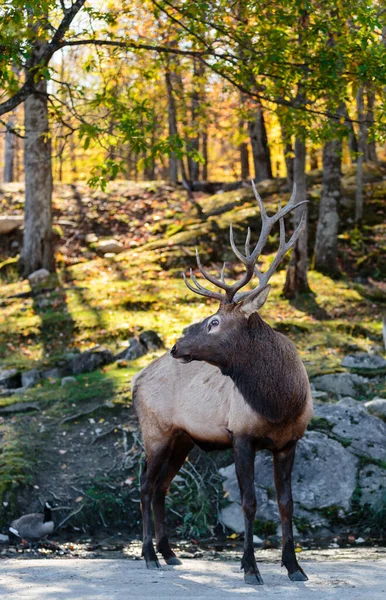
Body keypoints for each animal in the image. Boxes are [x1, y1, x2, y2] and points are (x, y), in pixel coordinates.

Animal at [133, 183, 314, 584]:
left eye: (214, 322)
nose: (176, 346)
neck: (280, 402)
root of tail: (135, 380)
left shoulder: (289, 441)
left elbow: (287, 503)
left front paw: (294, 566)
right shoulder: (241, 435)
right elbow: (249, 502)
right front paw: (250, 568)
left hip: (183, 439)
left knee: (162, 487)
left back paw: (169, 553)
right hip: (155, 431)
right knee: (145, 485)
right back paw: (149, 555)